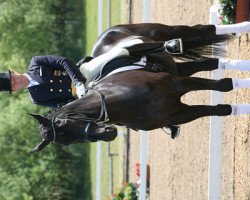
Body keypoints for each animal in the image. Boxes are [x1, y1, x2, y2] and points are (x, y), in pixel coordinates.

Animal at [29, 21, 250, 153]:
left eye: (65, 124)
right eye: (69, 141)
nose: (108, 134)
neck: (123, 99)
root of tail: (105, 35)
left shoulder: (176, 84)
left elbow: (224, 86)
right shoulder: (178, 112)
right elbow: (222, 110)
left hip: (164, 34)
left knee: (205, 31)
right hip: (176, 67)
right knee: (211, 63)